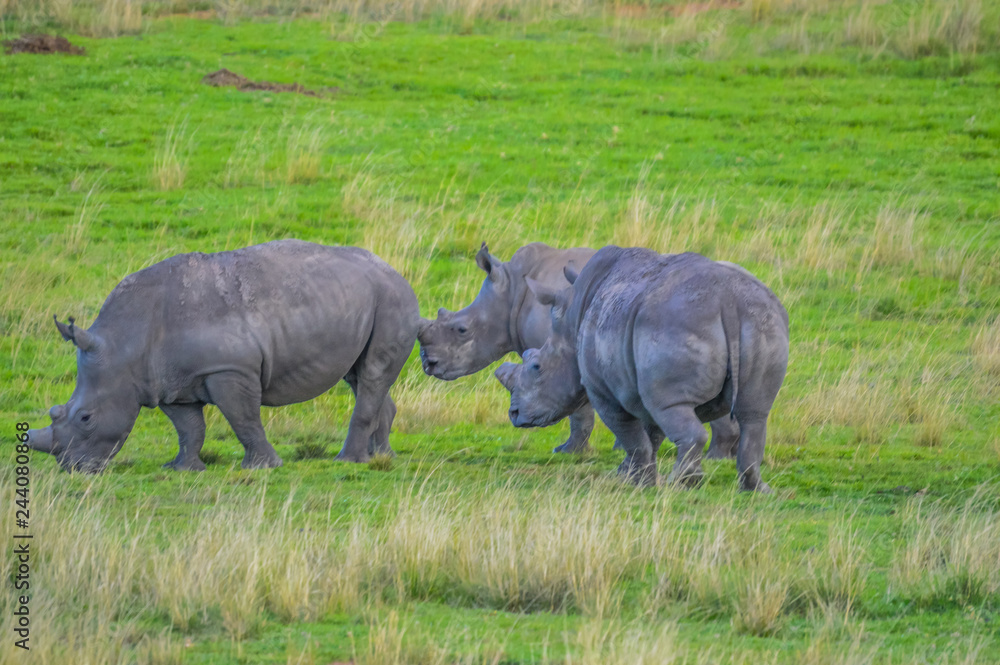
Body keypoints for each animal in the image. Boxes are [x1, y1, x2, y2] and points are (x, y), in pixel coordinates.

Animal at [25, 240, 419, 472]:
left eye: (86, 418)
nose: (73, 468)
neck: (124, 344)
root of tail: (396, 271)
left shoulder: (230, 370)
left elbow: (243, 419)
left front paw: (262, 467)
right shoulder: (168, 383)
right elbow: (189, 428)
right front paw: (181, 469)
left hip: (392, 299)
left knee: (371, 375)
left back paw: (349, 460)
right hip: (362, 299)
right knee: (359, 376)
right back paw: (382, 457)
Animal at [418, 242, 742, 457]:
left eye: (461, 330)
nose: (428, 363)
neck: (510, 294)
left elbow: (578, 410)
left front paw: (570, 450)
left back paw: (716, 456)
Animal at [494, 246, 788, 492]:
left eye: (536, 366)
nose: (514, 414)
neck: (570, 322)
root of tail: (728, 300)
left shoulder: (604, 391)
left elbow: (632, 436)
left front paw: (640, 482)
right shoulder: (641, 382)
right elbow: (651, 434)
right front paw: (631, 475)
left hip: (673, 325)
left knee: (678, 412)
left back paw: (682, 483)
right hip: (762, 322)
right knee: (755, 415)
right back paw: (755, 489)